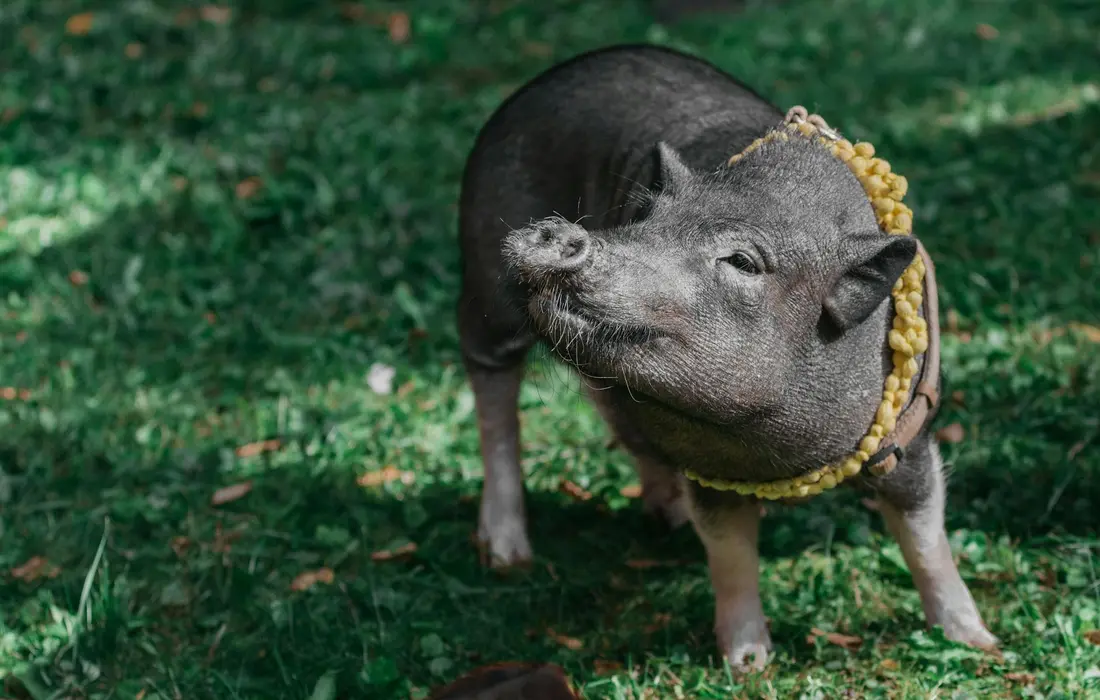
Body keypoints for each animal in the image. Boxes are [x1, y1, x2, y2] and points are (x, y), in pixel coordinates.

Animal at [456, 44, 997, 671]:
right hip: (484, 287)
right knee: (494, 397)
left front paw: (978, 642)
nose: (561, 232)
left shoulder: (908, 431)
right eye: (643, 221)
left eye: (741, 261)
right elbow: (730, 555)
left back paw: (664, 517)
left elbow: (926, 537)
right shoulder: (711, 469)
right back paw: (507, 556)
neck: (777, 457)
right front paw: (748, 665)